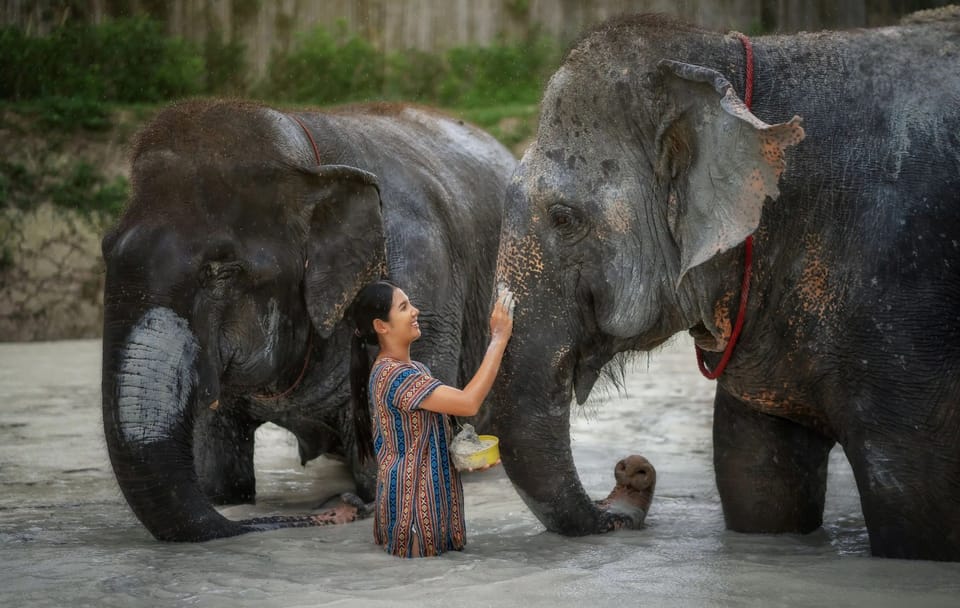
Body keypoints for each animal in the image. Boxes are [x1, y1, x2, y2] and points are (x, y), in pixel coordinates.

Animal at [100, 99, 516, 541]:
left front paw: (365, 496)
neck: (306, 160)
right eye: (106, 249)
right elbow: (219, 475)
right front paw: (227, 496)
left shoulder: (424, 286)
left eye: (223, 270)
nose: (342, 509)